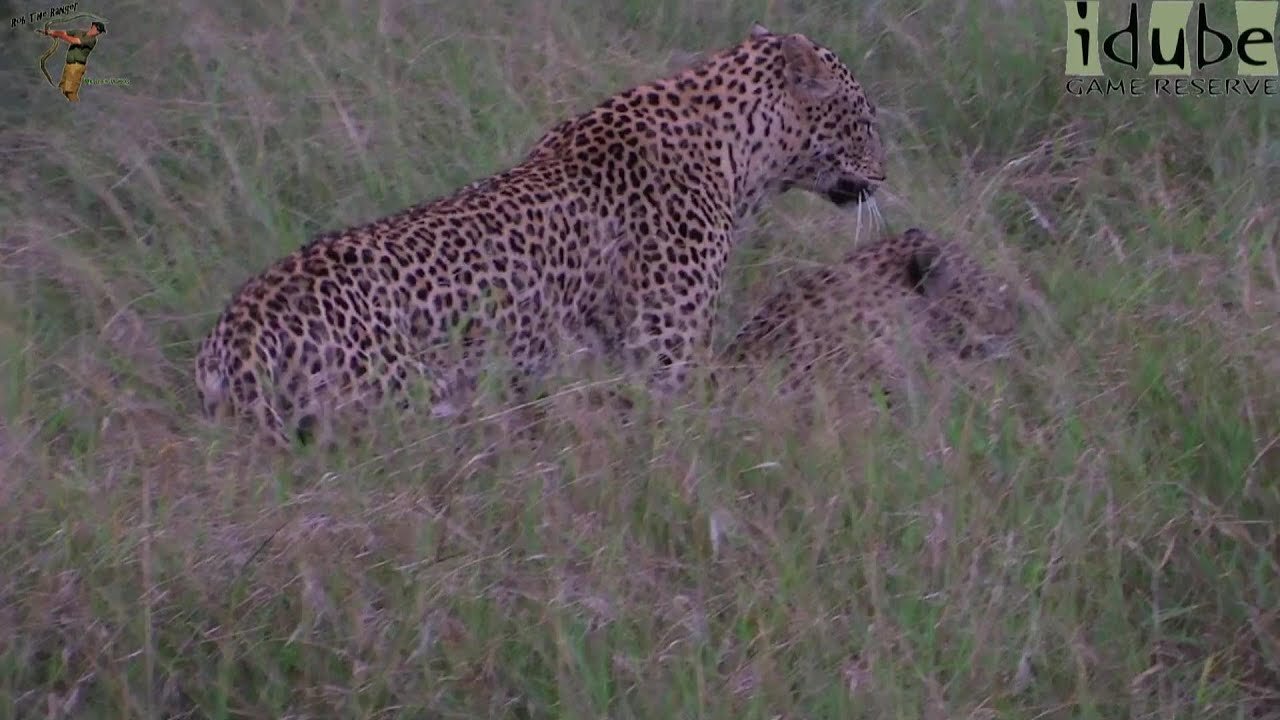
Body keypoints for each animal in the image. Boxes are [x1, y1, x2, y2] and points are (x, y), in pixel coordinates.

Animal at [194, 22, 885, 445]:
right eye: (867, 119)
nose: (885, 172)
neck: (742, 155)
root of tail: (238, 330)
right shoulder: (667, 353)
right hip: (405, 406)